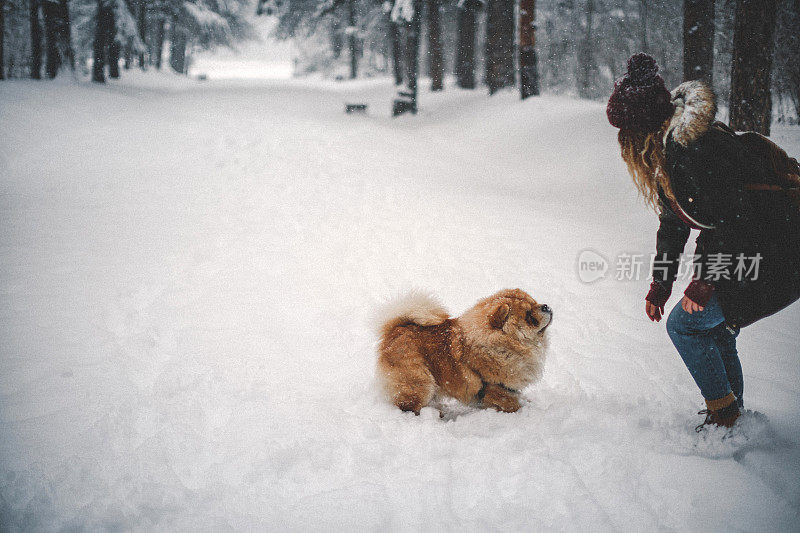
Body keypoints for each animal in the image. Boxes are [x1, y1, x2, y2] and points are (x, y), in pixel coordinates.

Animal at [376, 288, 552, 414]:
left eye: (535, 302)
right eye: (529, 316)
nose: (546, 306)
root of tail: (395, 329)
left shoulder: (511, 389)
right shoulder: (499, 389)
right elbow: (512, 405)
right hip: (419, 384)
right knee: (409, 406)